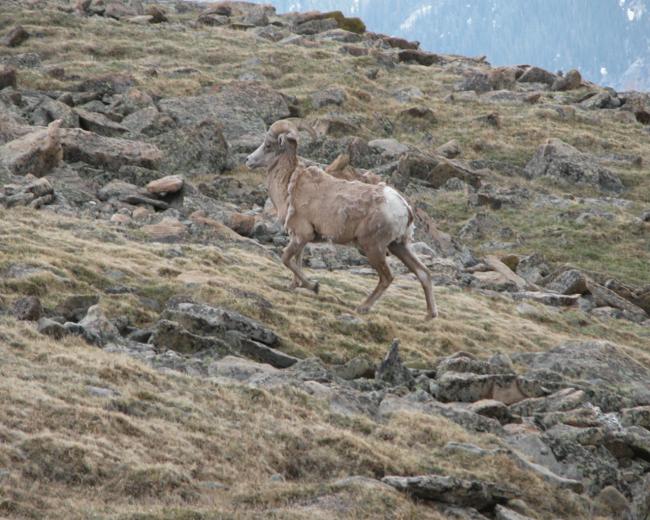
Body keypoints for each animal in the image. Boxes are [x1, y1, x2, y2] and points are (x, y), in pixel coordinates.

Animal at [245, 119, 438, 319]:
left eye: (268, 145)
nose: (248, 160)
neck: (290, 186)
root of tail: (404, 207)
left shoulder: (302, 235)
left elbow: (285, 258)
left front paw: (314, 286)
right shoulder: (300, 238)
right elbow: (296, 261)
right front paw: (293, 286)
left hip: (373, 248)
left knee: (387, 277)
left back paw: (362, 307)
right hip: (398, 246)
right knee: (423, 273)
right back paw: (429, 315)